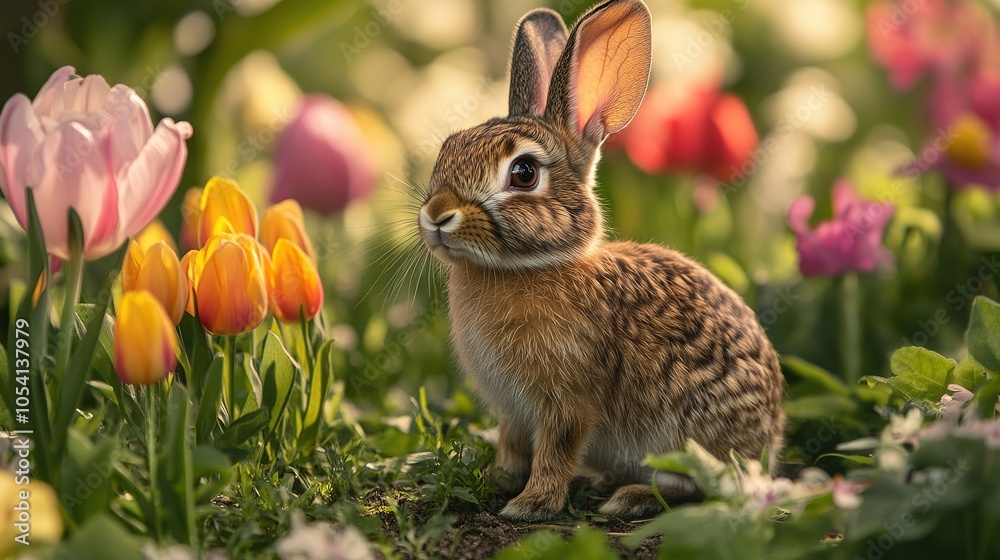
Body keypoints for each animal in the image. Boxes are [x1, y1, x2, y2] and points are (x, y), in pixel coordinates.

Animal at [417, 0, 785, 521]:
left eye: (523, 173)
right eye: (448, 148)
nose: (435, 215)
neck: (529, 266)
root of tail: (769, 441)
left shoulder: (568, 402)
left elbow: (557, 450)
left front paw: (530, 504)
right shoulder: (513, 411)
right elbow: (512, 444)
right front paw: (499, 479)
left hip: (687, 435)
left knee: (701, 483)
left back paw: (626, 498)